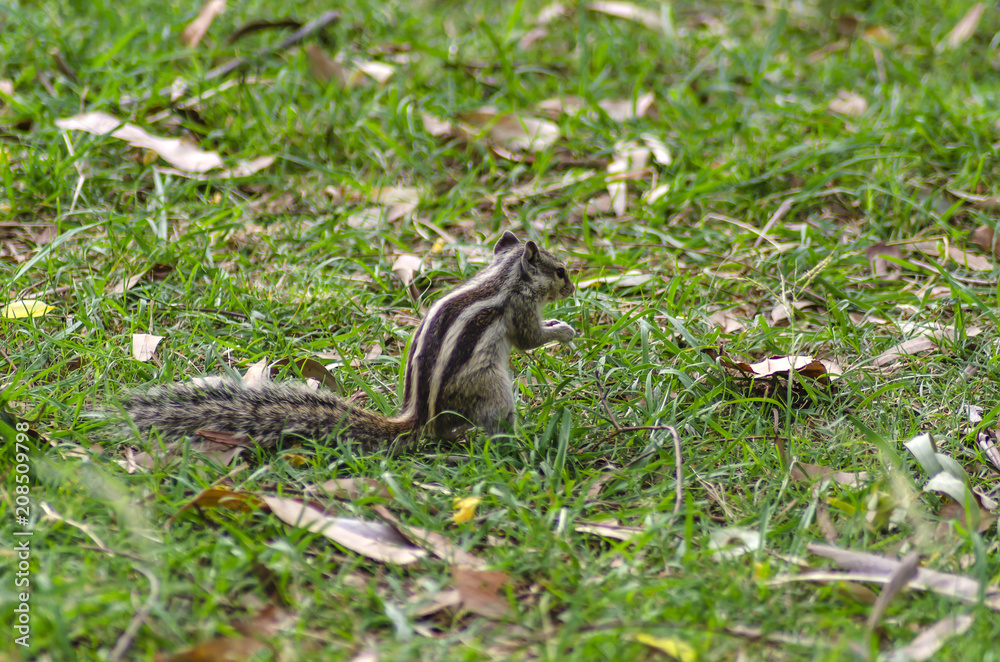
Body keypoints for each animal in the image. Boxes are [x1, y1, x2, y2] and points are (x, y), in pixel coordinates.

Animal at [123, 233, 580, 456]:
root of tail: (419, 416)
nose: (572, 287)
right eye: (560, 271)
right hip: (492, 388)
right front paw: (563, 329)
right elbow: (529, 340)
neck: (505, 275)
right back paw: (518, 439)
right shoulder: (519, 309)